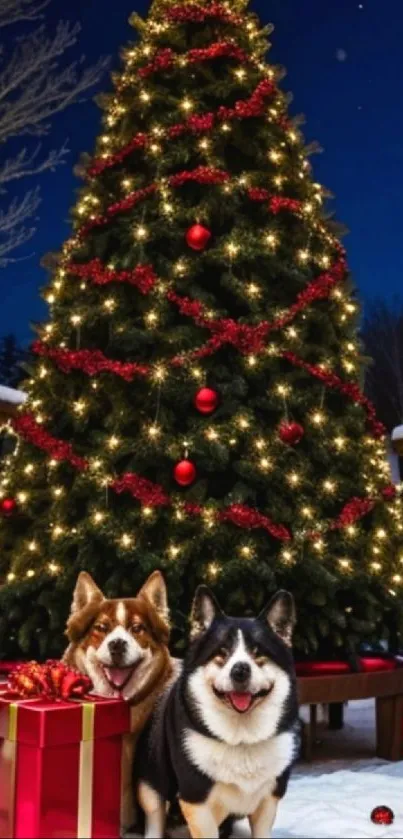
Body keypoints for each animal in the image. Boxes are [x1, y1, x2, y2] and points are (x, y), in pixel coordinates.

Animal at [136, 588, 300, 836]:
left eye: (258, 653)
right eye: (221, 653)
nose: (240, 670)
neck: (241, 737)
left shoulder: (270, 798)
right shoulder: (196, 800)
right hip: (150, 779)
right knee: (155, 811)